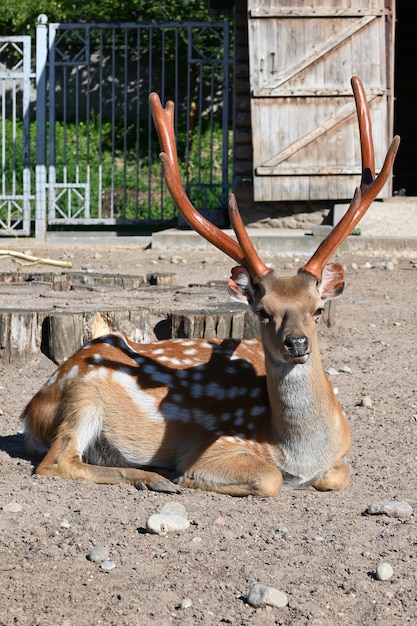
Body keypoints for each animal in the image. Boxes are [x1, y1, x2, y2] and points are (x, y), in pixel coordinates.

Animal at [21, 78, 398, 494]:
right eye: (262, 312)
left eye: (317, 309)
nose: (297, 343)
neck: (298, 454)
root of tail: (30, 409)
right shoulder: (212, 446)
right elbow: (268, 477)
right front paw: (183, 476)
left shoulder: (338, 459)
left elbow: (339, 474)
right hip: (81, 394)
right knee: (56, 461)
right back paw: (155, 477)